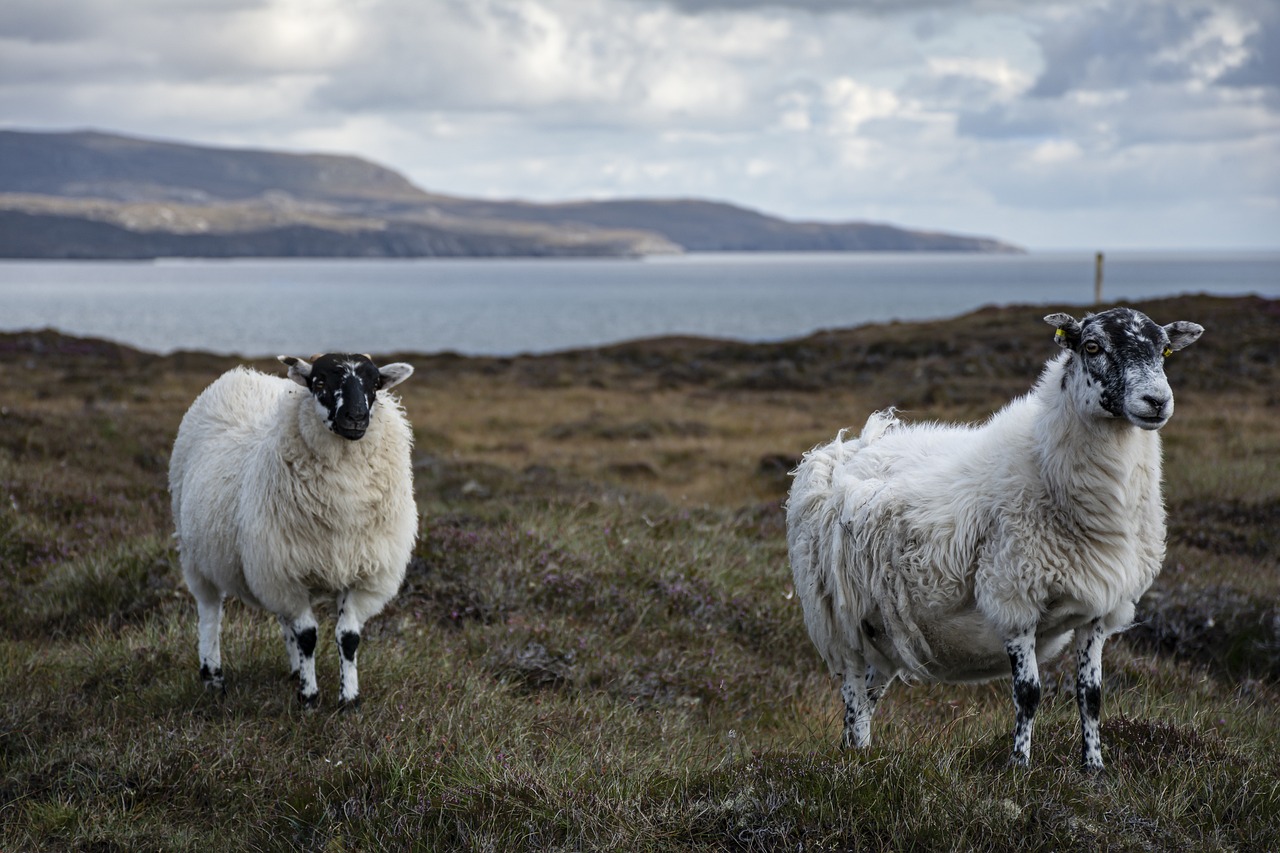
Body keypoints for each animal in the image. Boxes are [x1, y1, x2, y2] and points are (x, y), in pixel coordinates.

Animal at [170, 350, 417, 701]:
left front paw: (349, 698)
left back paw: (294, 670)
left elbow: (348, 638)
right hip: (198, 555)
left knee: (282, 618)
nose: (356, 418)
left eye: (374, 384)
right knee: (209, 612)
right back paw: (213, 676)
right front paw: (309, 697)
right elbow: (308, 636)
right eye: (320, 381)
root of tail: (241, 375)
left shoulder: (361, 574)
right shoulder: (288, 573)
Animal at [783, 307, 1203, 768]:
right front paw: (1019, 766)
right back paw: (854, 763)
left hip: (885, 629)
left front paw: (1094, 767)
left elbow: (1091, 696)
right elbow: (1028, 693)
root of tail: (845, 448)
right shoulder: (1014, 597)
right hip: (841, 617)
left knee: (870, 694)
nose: (1157, 401)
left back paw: (859, 755)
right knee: (854, 693)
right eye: (1093, 346)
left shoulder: (1100, 609)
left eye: (1165, 350)